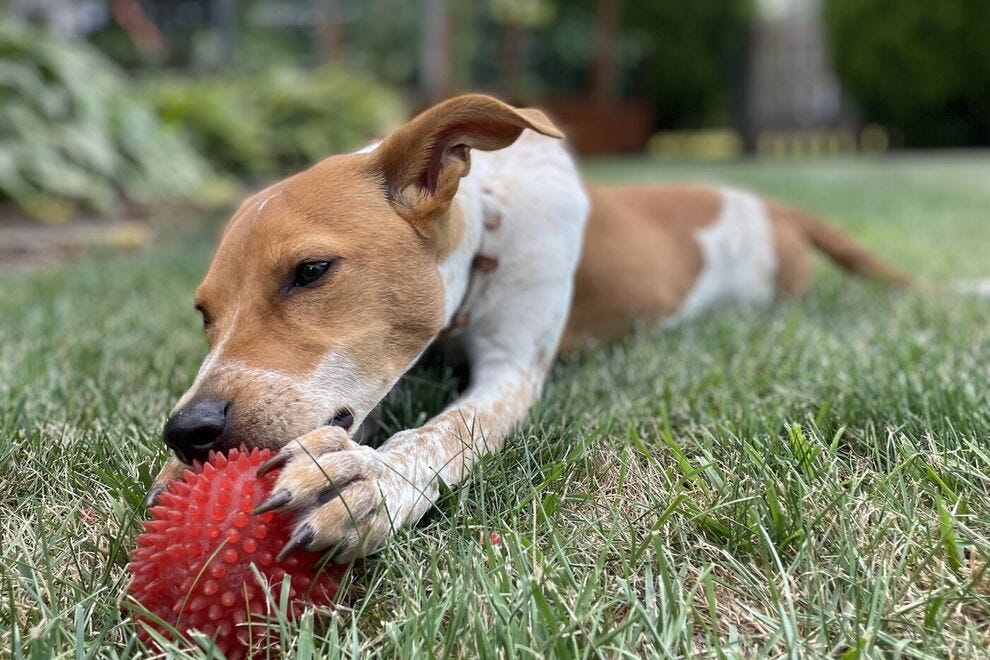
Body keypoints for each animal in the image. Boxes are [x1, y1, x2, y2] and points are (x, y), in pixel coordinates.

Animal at [151, 93, 920, 564]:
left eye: (311, 271)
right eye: (204, 314)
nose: (186, 432)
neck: (489, 225)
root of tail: (775, 208)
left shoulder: (513, 369)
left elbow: (445, 430)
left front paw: (369, 476)